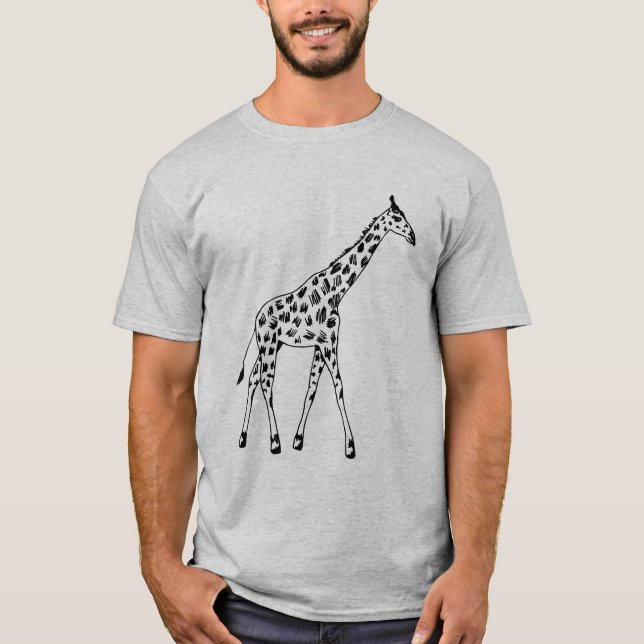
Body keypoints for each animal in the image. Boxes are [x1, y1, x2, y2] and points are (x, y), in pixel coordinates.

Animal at [236, 195, 415, 459]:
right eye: (398, 218)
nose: (413, 237)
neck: (335, 291)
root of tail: (256, 319)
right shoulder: (330, 343)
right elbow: (339, 386)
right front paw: (350, 446)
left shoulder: (321, 345)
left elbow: (311, 389)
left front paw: (298, 440)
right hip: (268, 345)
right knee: (266, 383)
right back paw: (275, 442)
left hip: (271, 345)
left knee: (252, 379)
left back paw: (243, 438)